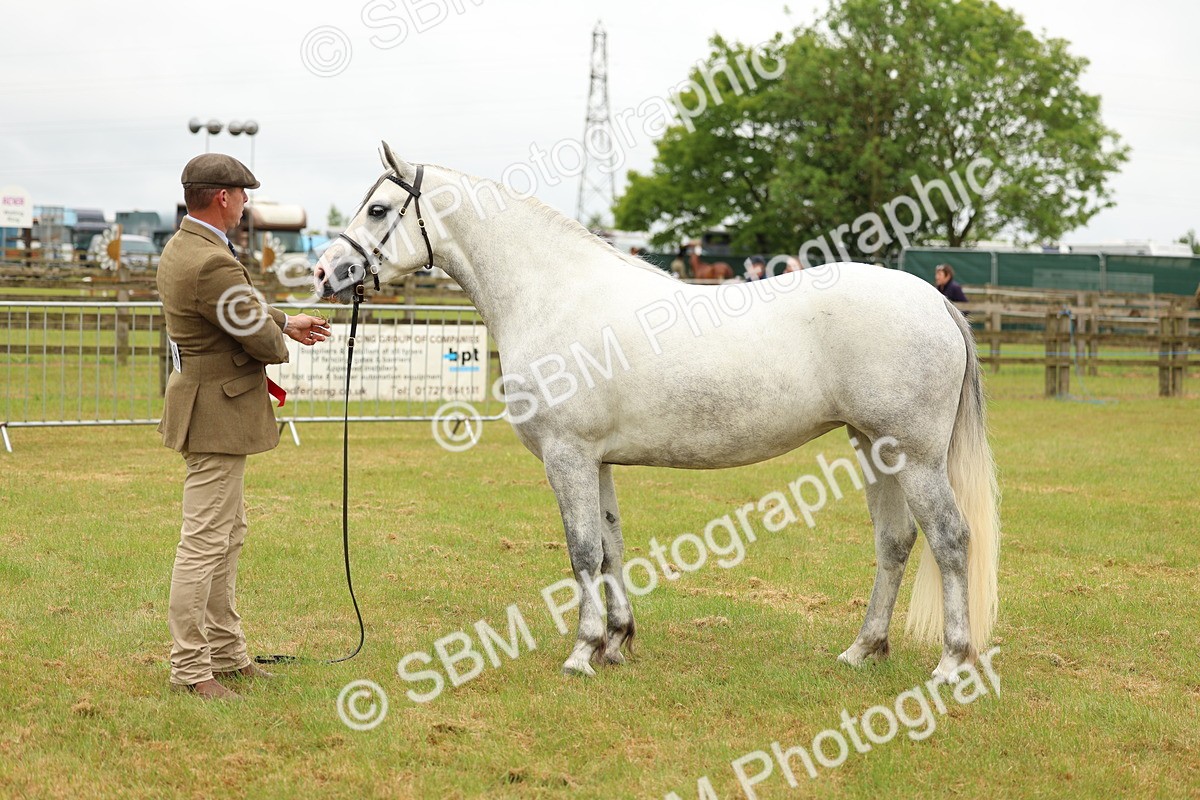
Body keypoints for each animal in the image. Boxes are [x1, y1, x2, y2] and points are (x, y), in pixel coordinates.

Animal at [314, 143, 1000, 683]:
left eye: (378, 209)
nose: (324, 272)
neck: (556, 292)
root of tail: (934, 301)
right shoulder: (598, 460)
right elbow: (610, 547)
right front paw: (617, 642)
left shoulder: (567, 454)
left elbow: (581, 550)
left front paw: (582, 651)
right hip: (872, 447)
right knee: (895, 540)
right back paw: (863, 649)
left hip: (914, 457)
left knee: (950, 538)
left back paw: (951, 663)